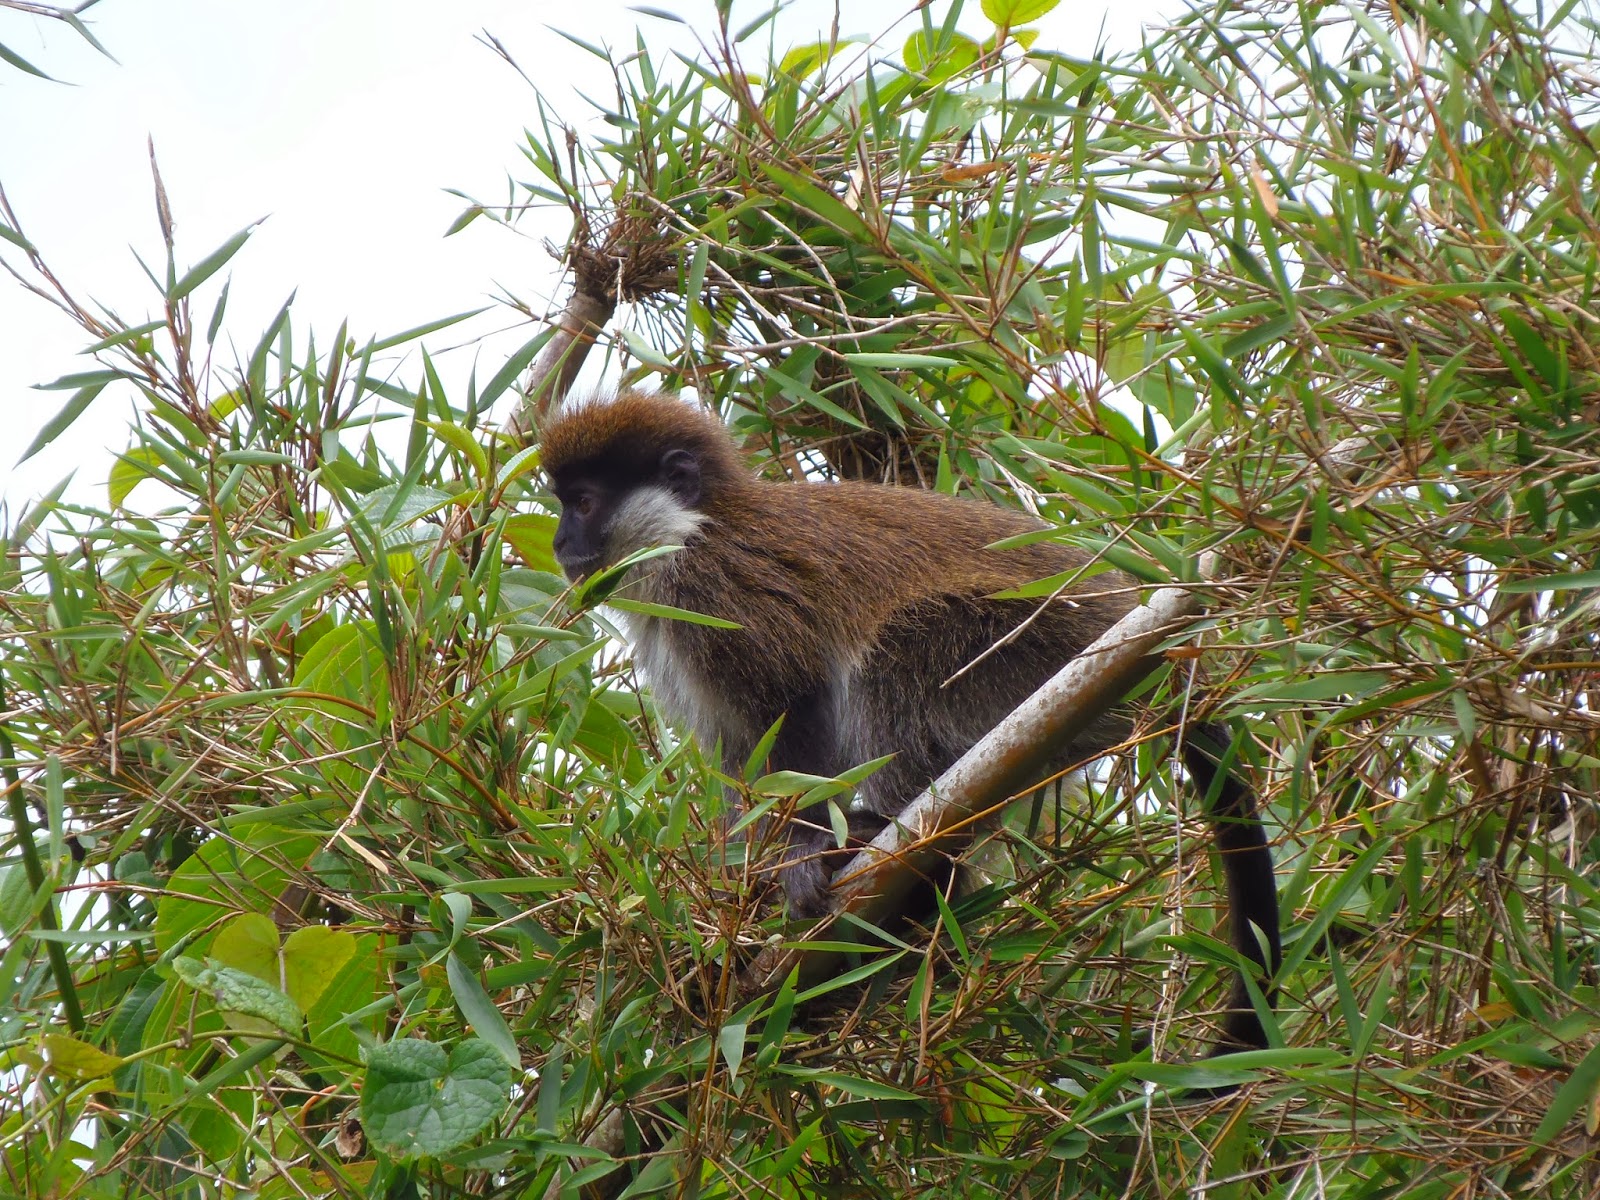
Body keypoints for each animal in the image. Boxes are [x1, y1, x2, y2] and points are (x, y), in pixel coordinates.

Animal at [539, 390, 1280, 1052]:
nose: (559, 541)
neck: (689, 532)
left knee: (895, 656)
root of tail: (1155, 653)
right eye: (564, 504)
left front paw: (801, 856)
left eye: (584, 503)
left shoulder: (717, 590)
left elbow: (796, 705)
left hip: (1031, 653)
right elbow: (741, 766)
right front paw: (732, 914)